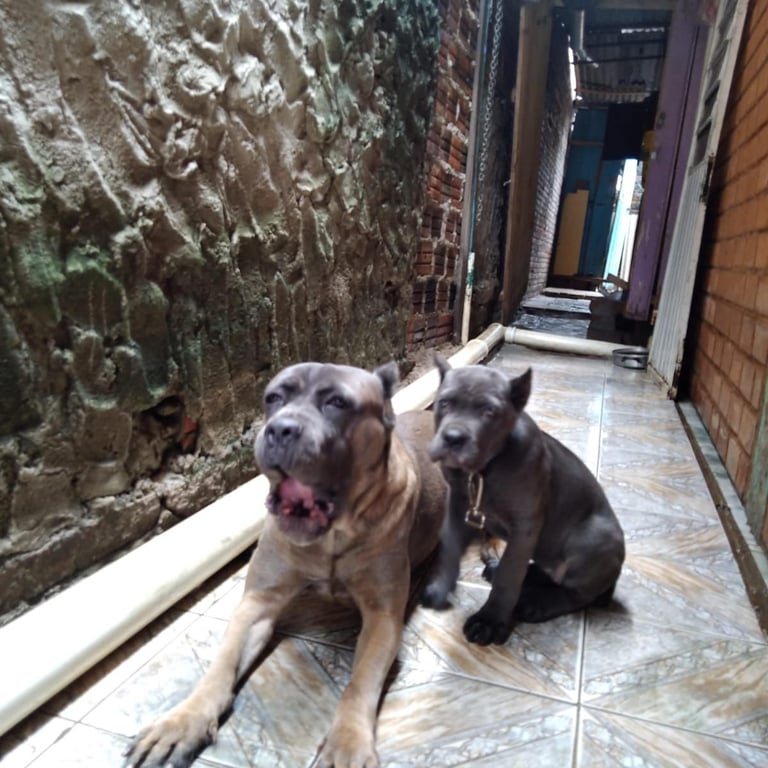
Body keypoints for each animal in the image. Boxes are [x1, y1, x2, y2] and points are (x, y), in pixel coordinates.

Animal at [125, 362, 445, 768]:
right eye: (273, 398)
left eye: (338, 402)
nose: (280, 429)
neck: (331, 538)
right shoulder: (257, 603)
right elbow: (222, 664)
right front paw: (184, 720)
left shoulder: (382, 619)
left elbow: (359, 683)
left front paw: (347, 742)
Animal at [422, 356, 625, 646]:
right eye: (444, 402)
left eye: (489, 411)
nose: (453, 438)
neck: (483, 470)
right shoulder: (458, 506)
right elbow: (450, 548)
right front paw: (440, 589)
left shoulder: (524, 527)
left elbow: (510, 574)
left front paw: (489, 620)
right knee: (547, 573)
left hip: (593, 539)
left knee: (578, 593)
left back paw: (535, 605)